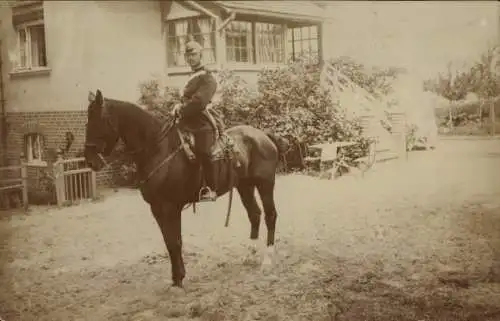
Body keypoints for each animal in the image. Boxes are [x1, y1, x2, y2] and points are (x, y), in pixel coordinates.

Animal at [84, 88, 290, 288]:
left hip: (265, 184)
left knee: (270, 216)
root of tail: (263, 136)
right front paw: (176, 278)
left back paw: (267, 260)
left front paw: (179, 278)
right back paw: (250, 255)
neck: (158, 149)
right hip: (244, 186)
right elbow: (169, 242)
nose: (90, 160)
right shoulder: (157, 208)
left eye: (97, 120)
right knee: (254, 214)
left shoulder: (170, 207)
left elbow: (175, 242)